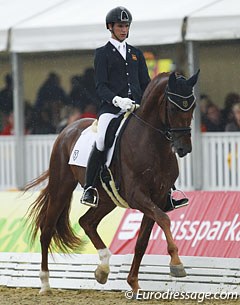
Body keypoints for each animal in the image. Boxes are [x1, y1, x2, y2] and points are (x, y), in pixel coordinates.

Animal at [25, 69, 200, 294]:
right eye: (172, 107)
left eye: (192, 107)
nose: (183, 148)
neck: (152, 143)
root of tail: (68, 128)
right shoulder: (137, 195)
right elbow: (164, 220)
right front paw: (177, 264)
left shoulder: (158, 198)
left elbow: (143, 241)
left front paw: (133, 283)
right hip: (61, 188)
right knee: (47, 231)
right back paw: (46, 283)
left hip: (107, 199)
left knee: (86, 222)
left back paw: (103, 268)